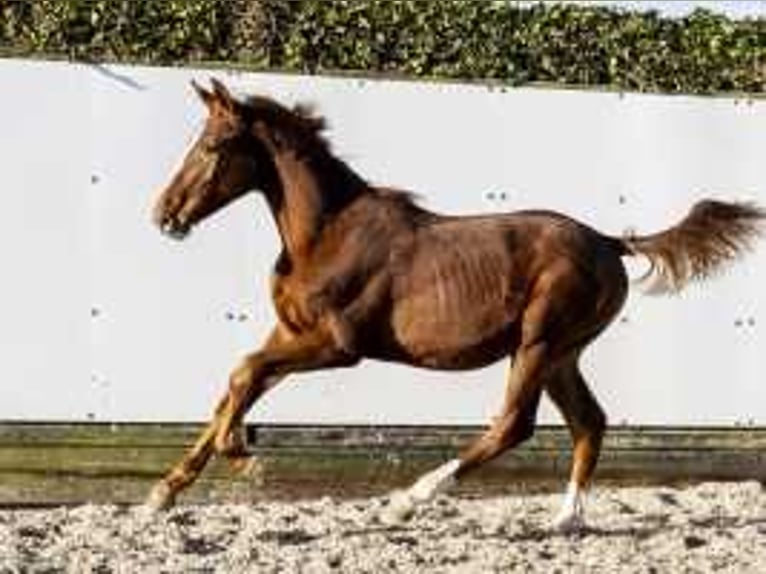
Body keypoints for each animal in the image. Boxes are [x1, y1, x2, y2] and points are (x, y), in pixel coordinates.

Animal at [148, 79, 760, 532]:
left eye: (212, 147)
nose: (163, 214)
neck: (325, 234)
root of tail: (610, 242)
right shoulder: (289, 334)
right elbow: (236, 384)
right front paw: (166, 490)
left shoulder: (337, 345)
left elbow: (243, 374)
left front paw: (240, 455)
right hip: (563, 353)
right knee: (589, 422)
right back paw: (566, 519)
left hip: (539, 341)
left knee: (514, 423)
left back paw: (411, 498)